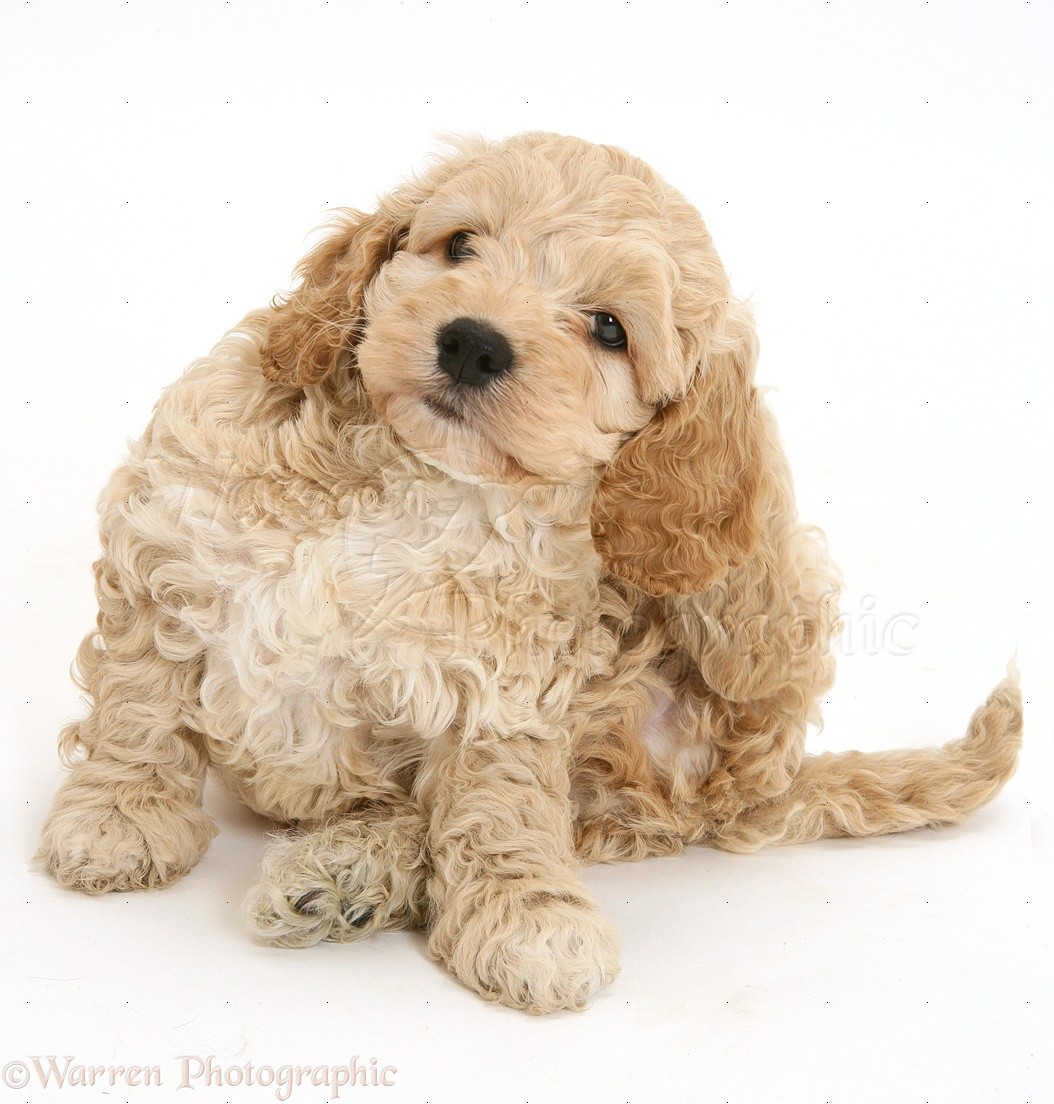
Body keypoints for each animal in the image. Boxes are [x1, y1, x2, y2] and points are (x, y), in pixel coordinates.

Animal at [41, 129, 1024, 1011]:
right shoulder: (169, 544)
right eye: (459, 245)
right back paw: (341, 878)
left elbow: (499, 805)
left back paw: (350, 873)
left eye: (609, 329)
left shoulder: (507, 681)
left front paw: (525, 919)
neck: (415, 475)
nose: (473, 343)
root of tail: (752, 787)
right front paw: (116, 818)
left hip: (747, 658)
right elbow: (140, 706)